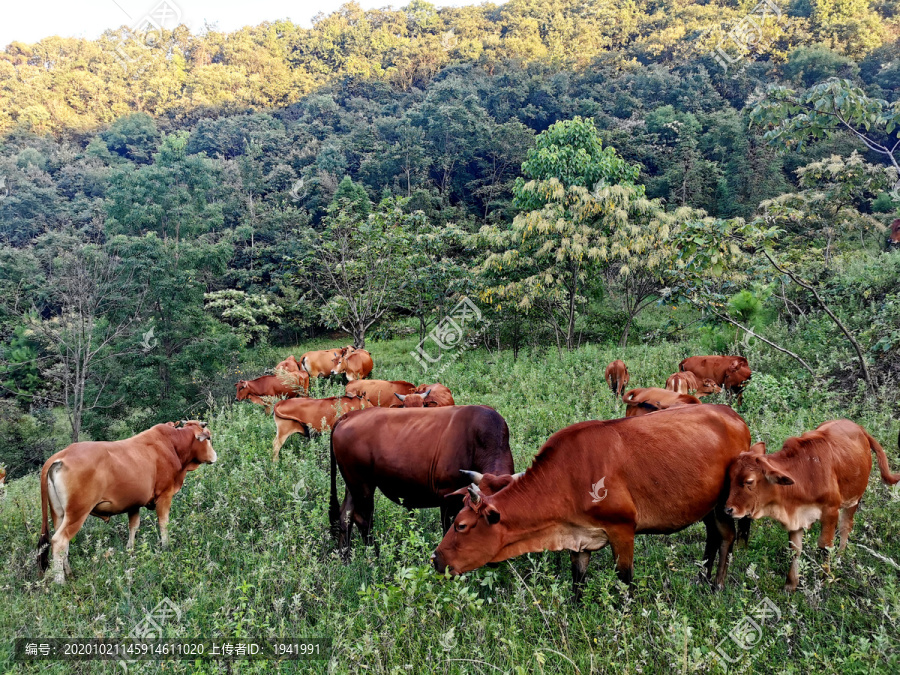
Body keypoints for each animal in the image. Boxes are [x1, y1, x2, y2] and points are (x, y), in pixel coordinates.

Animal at [330, 404, 512, 556]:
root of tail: (349, 415)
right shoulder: (447, 495)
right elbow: (448, 529)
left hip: (352, 485)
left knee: (345, 515)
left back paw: (344, 558)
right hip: (363, 485)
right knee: (362, 519)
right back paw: (374, 558)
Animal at [434, 402, 752, 596]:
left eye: (461, 525)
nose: (435, 558)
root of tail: (731, 414)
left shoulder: (622, 530)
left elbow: (625, 581)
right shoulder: (578, 537)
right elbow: (577, 582)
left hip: (724, 504)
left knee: (727, 536)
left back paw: (717, 585)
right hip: (707, 506)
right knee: (713, 536)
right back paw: (702, 578)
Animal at [724, 422, 900, 592]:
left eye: (749, 481)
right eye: (730, 478)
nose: (728, 509)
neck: (806, 475)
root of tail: (860, 428)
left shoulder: (831, 512)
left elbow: (825, 546)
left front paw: (824, 579)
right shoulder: (796, 517)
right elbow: (795, 550)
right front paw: (791, 585)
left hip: (854, 499)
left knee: (845, 527)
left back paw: (839, 558)